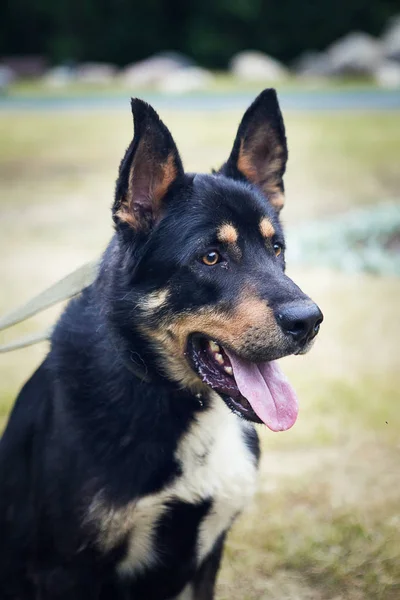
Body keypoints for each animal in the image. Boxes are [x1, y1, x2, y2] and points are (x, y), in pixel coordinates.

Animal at [0, 90, 322, 600]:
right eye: (210, 257)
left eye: (277, 250)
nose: (309, 321)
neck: (180, 400)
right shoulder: (65, 571)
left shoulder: (207, 555)